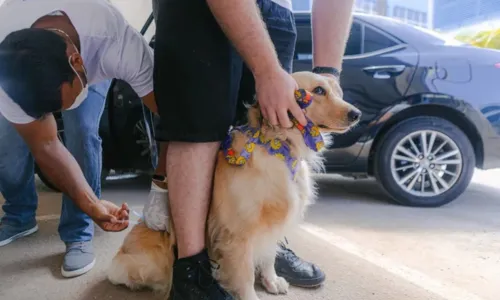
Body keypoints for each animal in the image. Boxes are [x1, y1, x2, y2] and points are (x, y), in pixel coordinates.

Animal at [107, 71, 362, 298]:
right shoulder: (238, 234)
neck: (279, 147)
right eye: (319, 91)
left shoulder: (271, 225)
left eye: (336, 91)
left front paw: (271, 280)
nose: (357, 114)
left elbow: (269, 254)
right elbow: (245, 275)